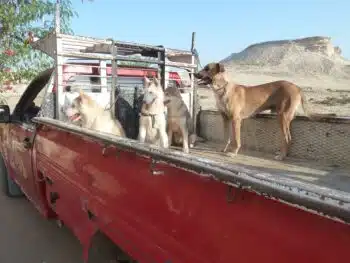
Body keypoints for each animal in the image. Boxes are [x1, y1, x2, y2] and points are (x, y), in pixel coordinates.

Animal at [196, 62, 332, 161]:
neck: (223, 89)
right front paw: (223, 149)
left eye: (207, 68)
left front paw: (233, 152)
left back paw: (281, 156)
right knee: (289, 137)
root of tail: (297, 87)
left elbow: (236, 139)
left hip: (282, 117)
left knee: (287, 137)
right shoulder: (225, 118)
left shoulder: (236, 119)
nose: (195, 74)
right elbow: (226, 137)